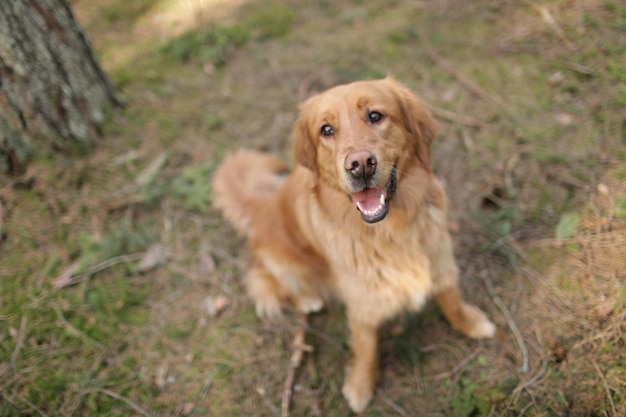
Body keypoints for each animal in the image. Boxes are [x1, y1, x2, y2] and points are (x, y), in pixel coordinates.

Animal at [212, 77, 494, 410]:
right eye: (326, 130)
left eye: (375, 115)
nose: (360, 165)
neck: (390, 232)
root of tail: (263, 207)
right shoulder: (363, 304)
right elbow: (367, 349)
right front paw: (361, 385)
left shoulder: (440, 259)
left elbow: (452, 301)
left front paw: (472, 323)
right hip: (283, 262)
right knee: (271, 284)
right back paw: (308, 298)